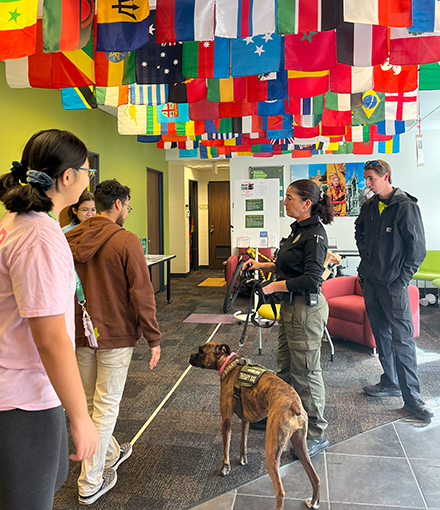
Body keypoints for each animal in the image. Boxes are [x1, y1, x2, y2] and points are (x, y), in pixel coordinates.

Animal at [189, 342, 320, 510]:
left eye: (201, 352)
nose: (191, 356)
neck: (229, 364)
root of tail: (294, 404)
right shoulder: (245, 419)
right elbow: (243, 442)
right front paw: (243, 458)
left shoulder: (226, 420)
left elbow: (226, 448)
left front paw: (225, 468)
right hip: (300, 444)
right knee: (315, 477)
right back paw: (313, 502)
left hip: (271, 452)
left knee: (280, 491)